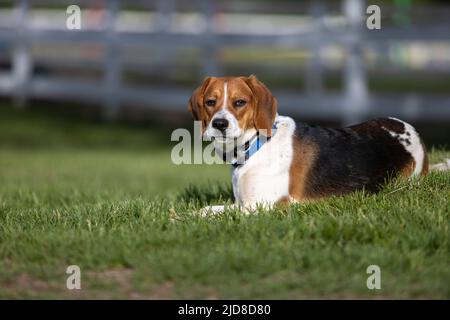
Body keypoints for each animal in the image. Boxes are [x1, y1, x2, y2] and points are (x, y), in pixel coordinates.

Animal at [188, 75, 448, 214]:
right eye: (210, 102)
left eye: (239, 102)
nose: (219, 123)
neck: (255, 146)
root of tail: (411, 130)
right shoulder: (244, 203)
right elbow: (206, 210)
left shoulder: (264, 206)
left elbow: (205, 214)